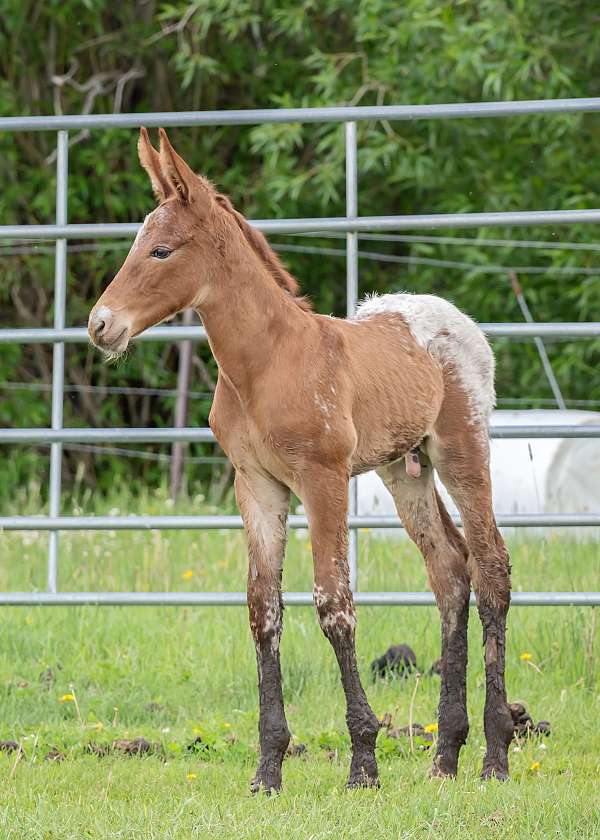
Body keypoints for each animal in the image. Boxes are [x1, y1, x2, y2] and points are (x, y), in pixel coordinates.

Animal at [88, 128, 510, 792]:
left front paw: (363, 762)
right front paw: (268, 768)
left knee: (491, 567)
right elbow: (264, 610)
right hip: (403, 469)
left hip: (461, 449)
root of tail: (456, 319)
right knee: (449, 571)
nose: (99, 326)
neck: (267, 362)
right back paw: (445, 755)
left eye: (160, 250)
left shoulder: (323, 479)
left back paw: (496, 754)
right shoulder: (257, 485)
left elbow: (334, 606)